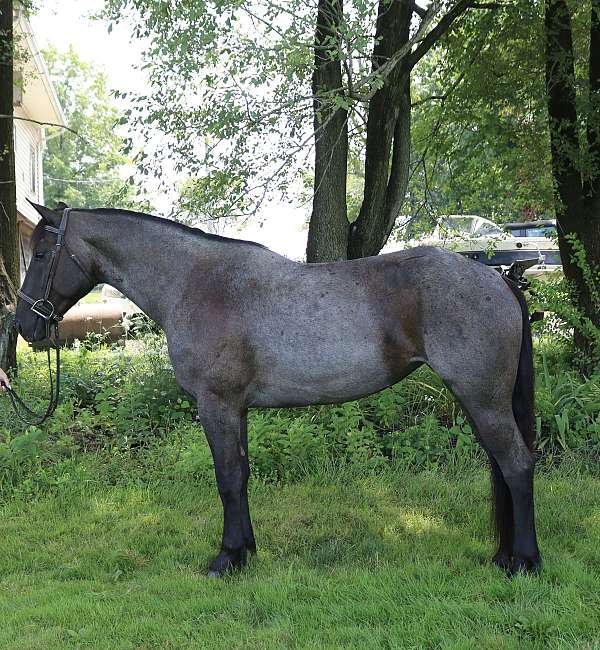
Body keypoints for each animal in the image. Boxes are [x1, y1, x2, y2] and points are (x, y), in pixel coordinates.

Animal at [15, 203, 541, 577]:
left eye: (41, 253)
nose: (24, 326)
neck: (195, 283)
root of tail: (495, 277)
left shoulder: (216, 406)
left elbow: (227, 478)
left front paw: (226, 558)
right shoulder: (238, 410)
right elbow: (242, 476)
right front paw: (246, 550)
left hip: (482, 400)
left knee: (516, 464)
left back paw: (525, 562)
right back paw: (505, 555)